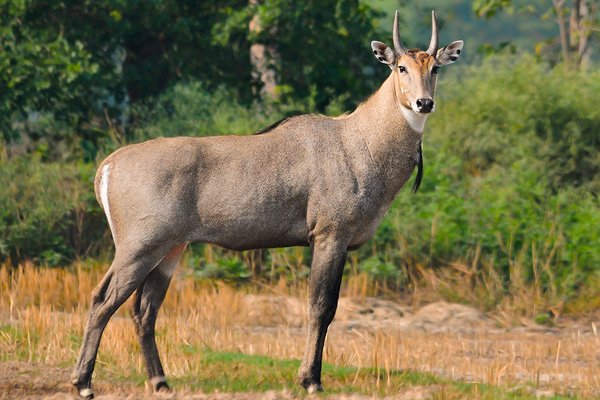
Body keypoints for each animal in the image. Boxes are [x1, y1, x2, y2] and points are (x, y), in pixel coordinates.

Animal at [70, 9, 464, 396]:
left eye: (435, 68)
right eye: (401, 67)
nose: (424, 103)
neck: (361, 141)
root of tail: (107, 166)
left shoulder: (338, 242)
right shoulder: (329, 235)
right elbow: (321, 307)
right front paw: (310, 380)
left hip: (169, 249)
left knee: (144, 310)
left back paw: (160, 381)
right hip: (139, 246)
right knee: (102, 299)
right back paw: (83, 382)